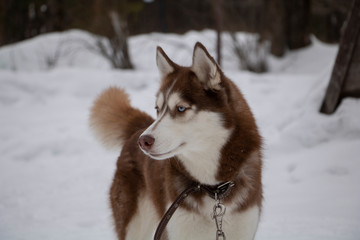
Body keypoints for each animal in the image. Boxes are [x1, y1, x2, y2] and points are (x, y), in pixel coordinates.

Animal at [89, 43, 264, 240]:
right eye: (158, 108)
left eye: (180, 108)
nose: (143, 142)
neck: (213, 188)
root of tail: (138, 130)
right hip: (135, 226)